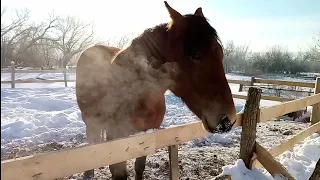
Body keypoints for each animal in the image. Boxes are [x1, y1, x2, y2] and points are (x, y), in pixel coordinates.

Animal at [74, 1, 235, 180]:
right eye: (196, 55)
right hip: (90, 120)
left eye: (220, 53)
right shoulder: (117, 139)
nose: (228, 119)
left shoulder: (146, 135)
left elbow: (139, 167)